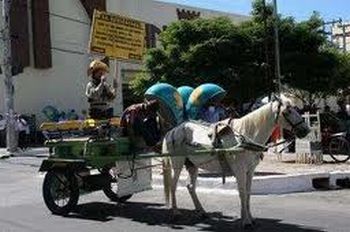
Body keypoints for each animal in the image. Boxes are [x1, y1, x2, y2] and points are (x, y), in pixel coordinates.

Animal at [161, 94, 308, 228]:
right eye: (287, 111)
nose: (305, 130)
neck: (246, 135)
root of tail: (173, 131)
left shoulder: (250, 171)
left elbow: (248, 193)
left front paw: (250, 217)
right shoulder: (240, 170)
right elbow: (242, 193)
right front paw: (246, 221)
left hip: (193, 165)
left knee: (190, 187)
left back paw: (201, 211)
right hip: (177, 164)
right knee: (173, 185)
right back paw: (175, 212)